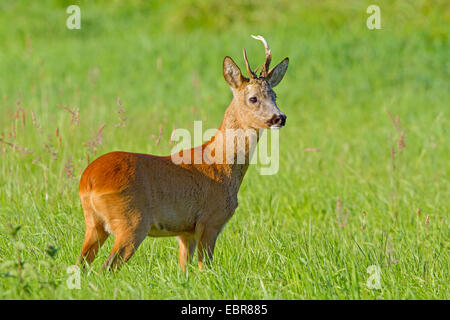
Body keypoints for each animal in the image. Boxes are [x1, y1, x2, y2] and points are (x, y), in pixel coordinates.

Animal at [77, 34, 288, 270]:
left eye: (275, 95)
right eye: (253, 98)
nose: (279, 118)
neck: (222, 165)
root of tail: (88, 182)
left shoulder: (186, 232)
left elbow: (183, 268)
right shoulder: (210, 220)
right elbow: (206, 267)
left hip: (94, 224)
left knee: (81, 264)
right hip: (131, 221)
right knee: (106, 267)